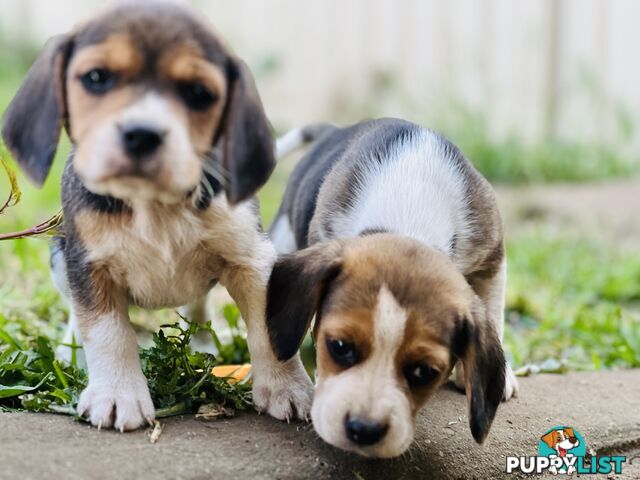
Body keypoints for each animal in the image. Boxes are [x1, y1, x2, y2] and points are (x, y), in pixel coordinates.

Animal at [1, 0, 312, 432]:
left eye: (199, 93)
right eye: (96, 78)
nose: (142, 133)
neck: (154, 203)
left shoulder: (251, 260)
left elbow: (269, 332)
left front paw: (287, 389)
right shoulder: (88, 265)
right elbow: (108, 333)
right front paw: (117, 395)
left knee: (197, 307)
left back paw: (203, 345)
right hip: (61, 261)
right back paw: (72, 354)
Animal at [266, 120, 520, 458]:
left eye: (424, 372)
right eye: (339, 347)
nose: (363, 430)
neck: (409, 215)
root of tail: (335, 130)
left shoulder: (492, 255)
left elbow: (493, 311)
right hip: (282, 235)